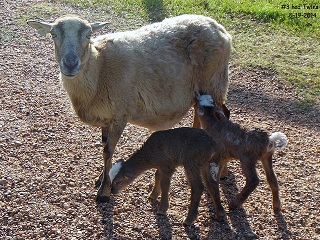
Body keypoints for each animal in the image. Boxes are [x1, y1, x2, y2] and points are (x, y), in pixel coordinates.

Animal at [27, 14, 231, 202]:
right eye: (53, 34)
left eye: (89, 35)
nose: (70, 64)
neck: (99, 70)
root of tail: (220, 28)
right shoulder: (106, 116)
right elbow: (105, 146)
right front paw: (102, 177)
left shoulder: (120, 114)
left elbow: (108, 150)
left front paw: (104, 191)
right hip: (202, 89)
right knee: (201, 114)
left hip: (214, 81)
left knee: (224, 116)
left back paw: (221, 172)